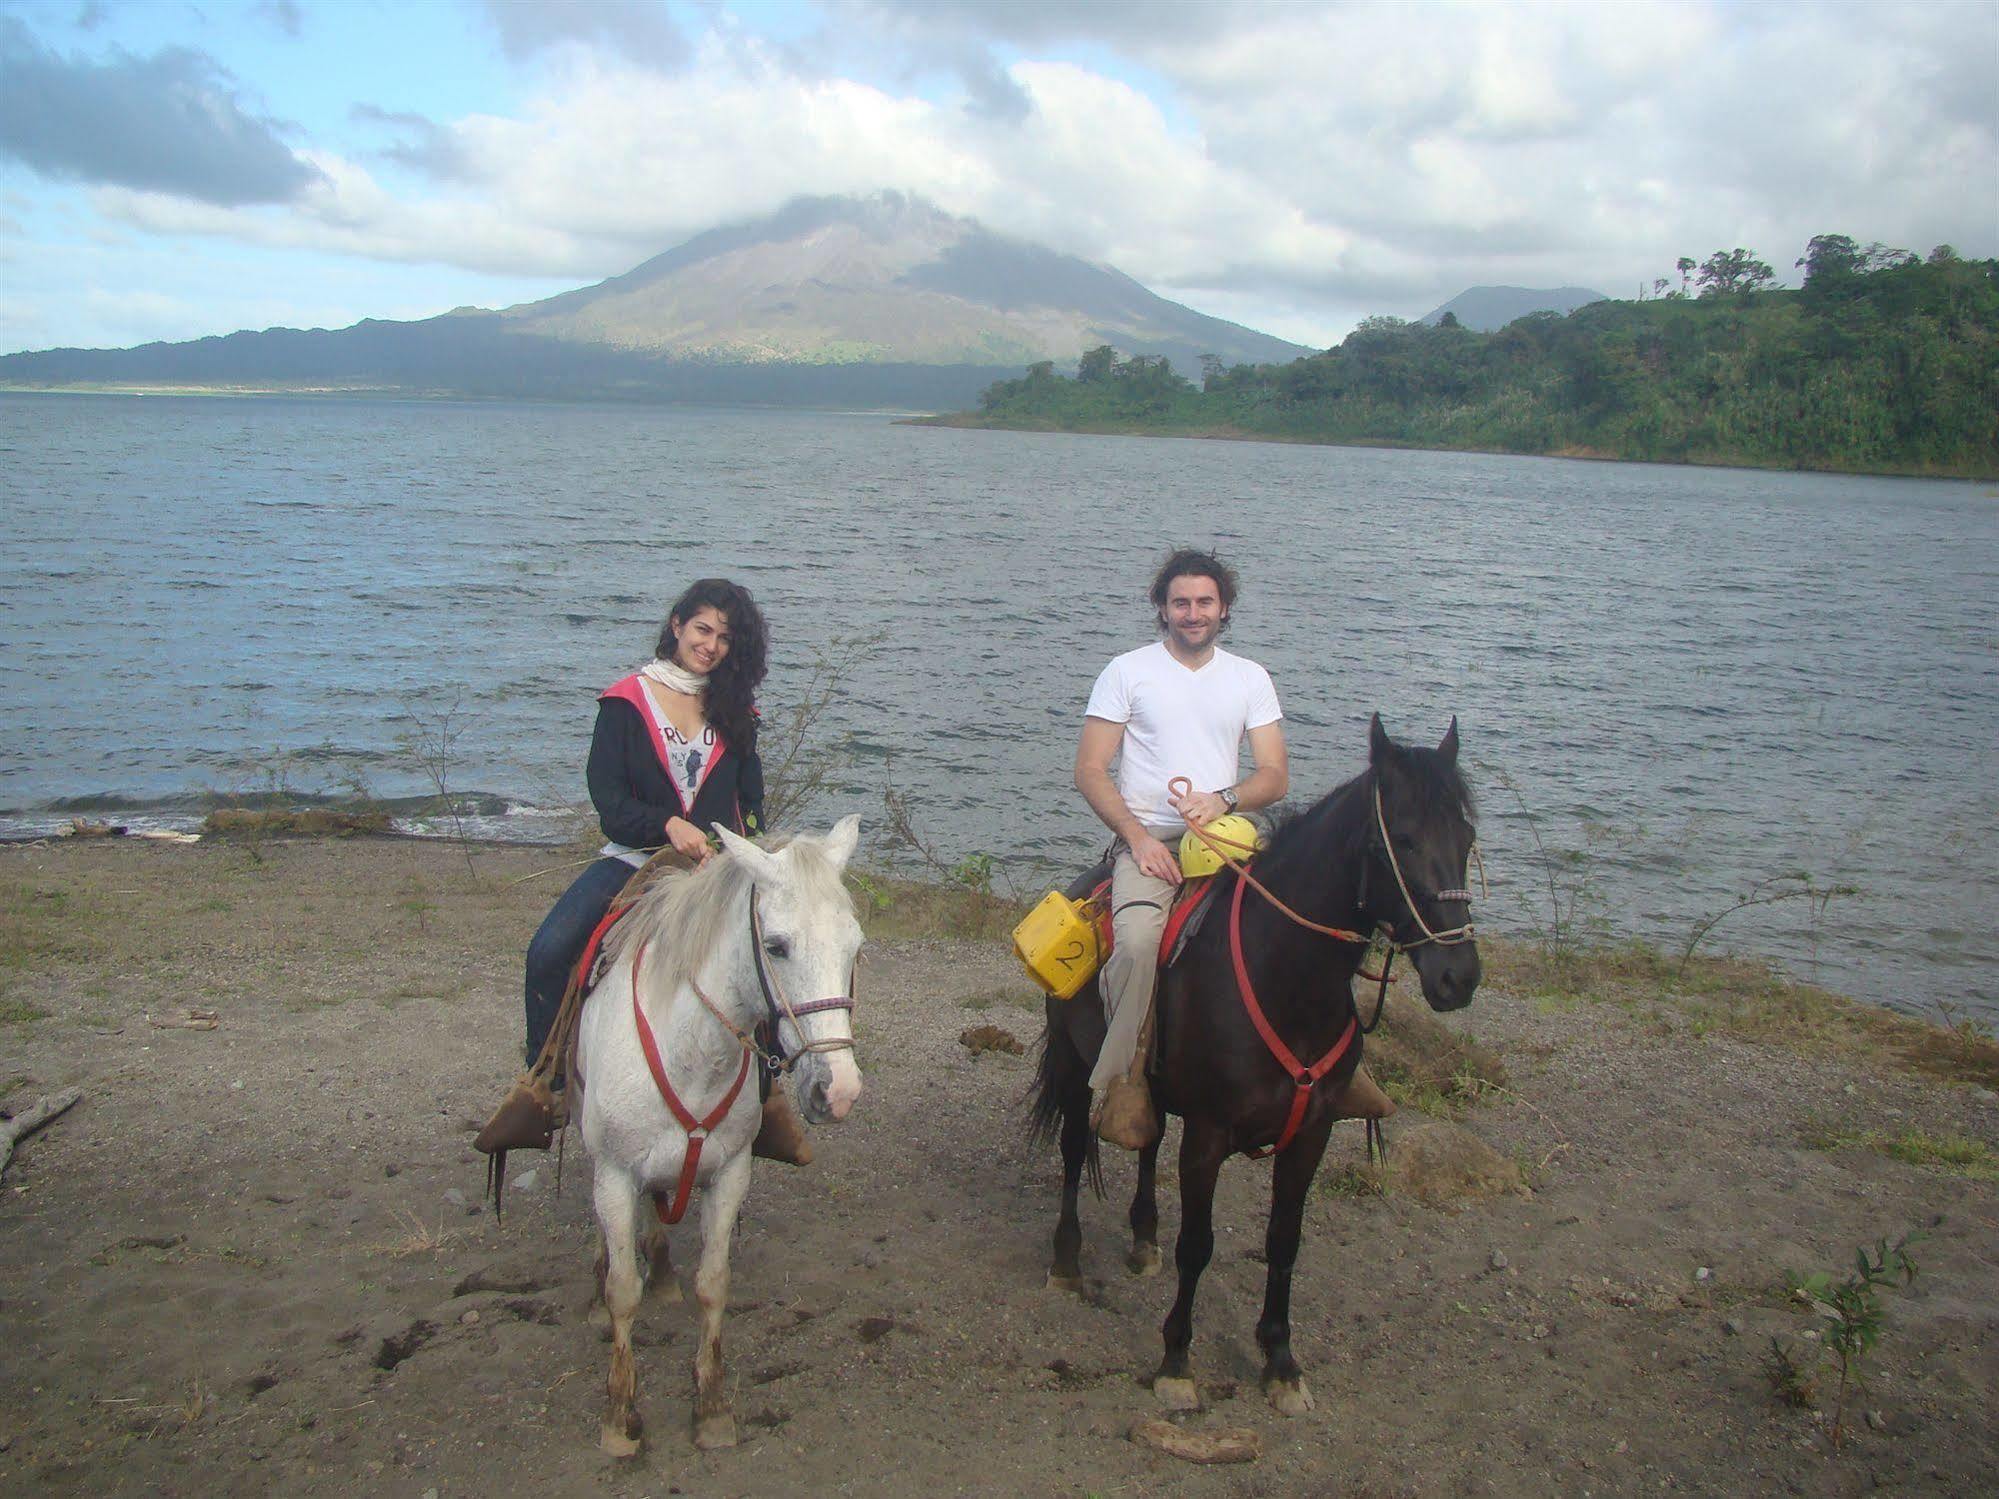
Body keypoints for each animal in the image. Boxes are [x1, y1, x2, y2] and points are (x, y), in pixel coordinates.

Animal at [575, 815, 863, 1463]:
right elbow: (622, 1291)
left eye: (855, 946)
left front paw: (710, 1409)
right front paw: (619, 1416)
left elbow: (712, 1285)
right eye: (776, 945)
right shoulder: (614, 1174)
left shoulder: (729, 1174)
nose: (838, 1091)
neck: (690, 1051)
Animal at [1031, 715, 1487, 1423]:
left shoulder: (1312, 1134)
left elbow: (1284, 1242)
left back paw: (1142, 1241)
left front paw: (1280, 1362)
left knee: (1146, 1139)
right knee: (1077, 1153)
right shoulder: (1209, 1135)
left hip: (1155, 1090)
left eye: (1465, 839)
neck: (1286, 979)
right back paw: (1067, 1264)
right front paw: (1176, 1362)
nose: (1457, 976)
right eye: (1404, 840)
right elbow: (1198, 1246)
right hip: (1079, 1069)